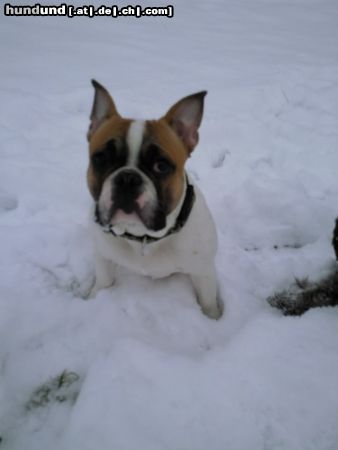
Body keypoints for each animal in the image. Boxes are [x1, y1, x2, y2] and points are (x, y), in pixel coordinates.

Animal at [86, 81, 222, 320]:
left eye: (161, 166)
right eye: (100, 159)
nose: (128, 179)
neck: (144, 238)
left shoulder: (203, 271)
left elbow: (207, 302)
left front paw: (213, 319)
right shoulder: (103, 257)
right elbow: (103, 282)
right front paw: (95, 297)